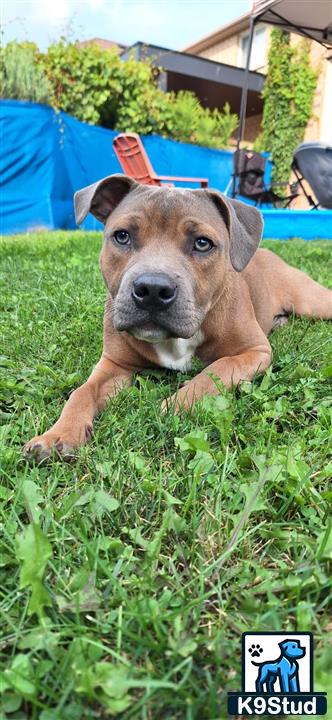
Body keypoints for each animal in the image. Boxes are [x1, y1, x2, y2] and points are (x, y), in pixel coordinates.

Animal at [24, 172, 332, 458]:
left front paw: (174, 406)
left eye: (203, 243)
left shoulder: (253, 351)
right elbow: (81, 392)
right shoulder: (114, 365)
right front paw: (58, 433)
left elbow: (215, 371)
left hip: (314, 301)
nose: (152, 289)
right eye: (122, 236)